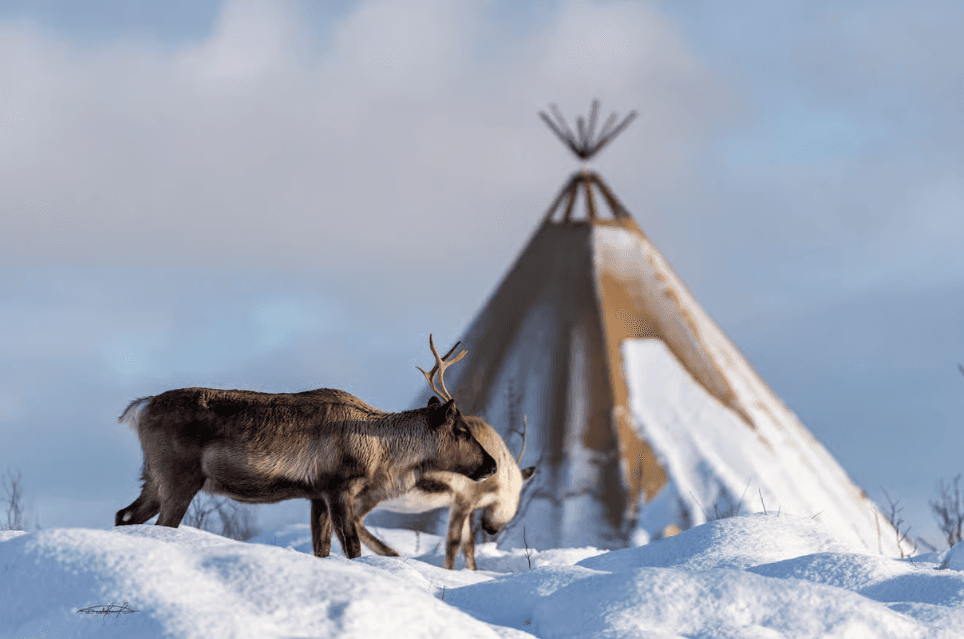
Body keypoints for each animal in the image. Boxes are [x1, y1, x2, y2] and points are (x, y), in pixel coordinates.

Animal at [114, 335, 497, 560]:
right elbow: (352, 547)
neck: (381, 452)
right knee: (158, 523)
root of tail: (140, 408)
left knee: (124, 515)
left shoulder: (316, 494)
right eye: (461, 430)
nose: (492, 465)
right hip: (179, 476)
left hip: (152, 477)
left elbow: (322, 549)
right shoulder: (338, 486)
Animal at [353, 348, 536, 571]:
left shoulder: (461, 505)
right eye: (518, 494)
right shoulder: (463, 500)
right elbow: (454, 545)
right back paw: (390, 552)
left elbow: (469, 547)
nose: (492, 529)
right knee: (354, 519)